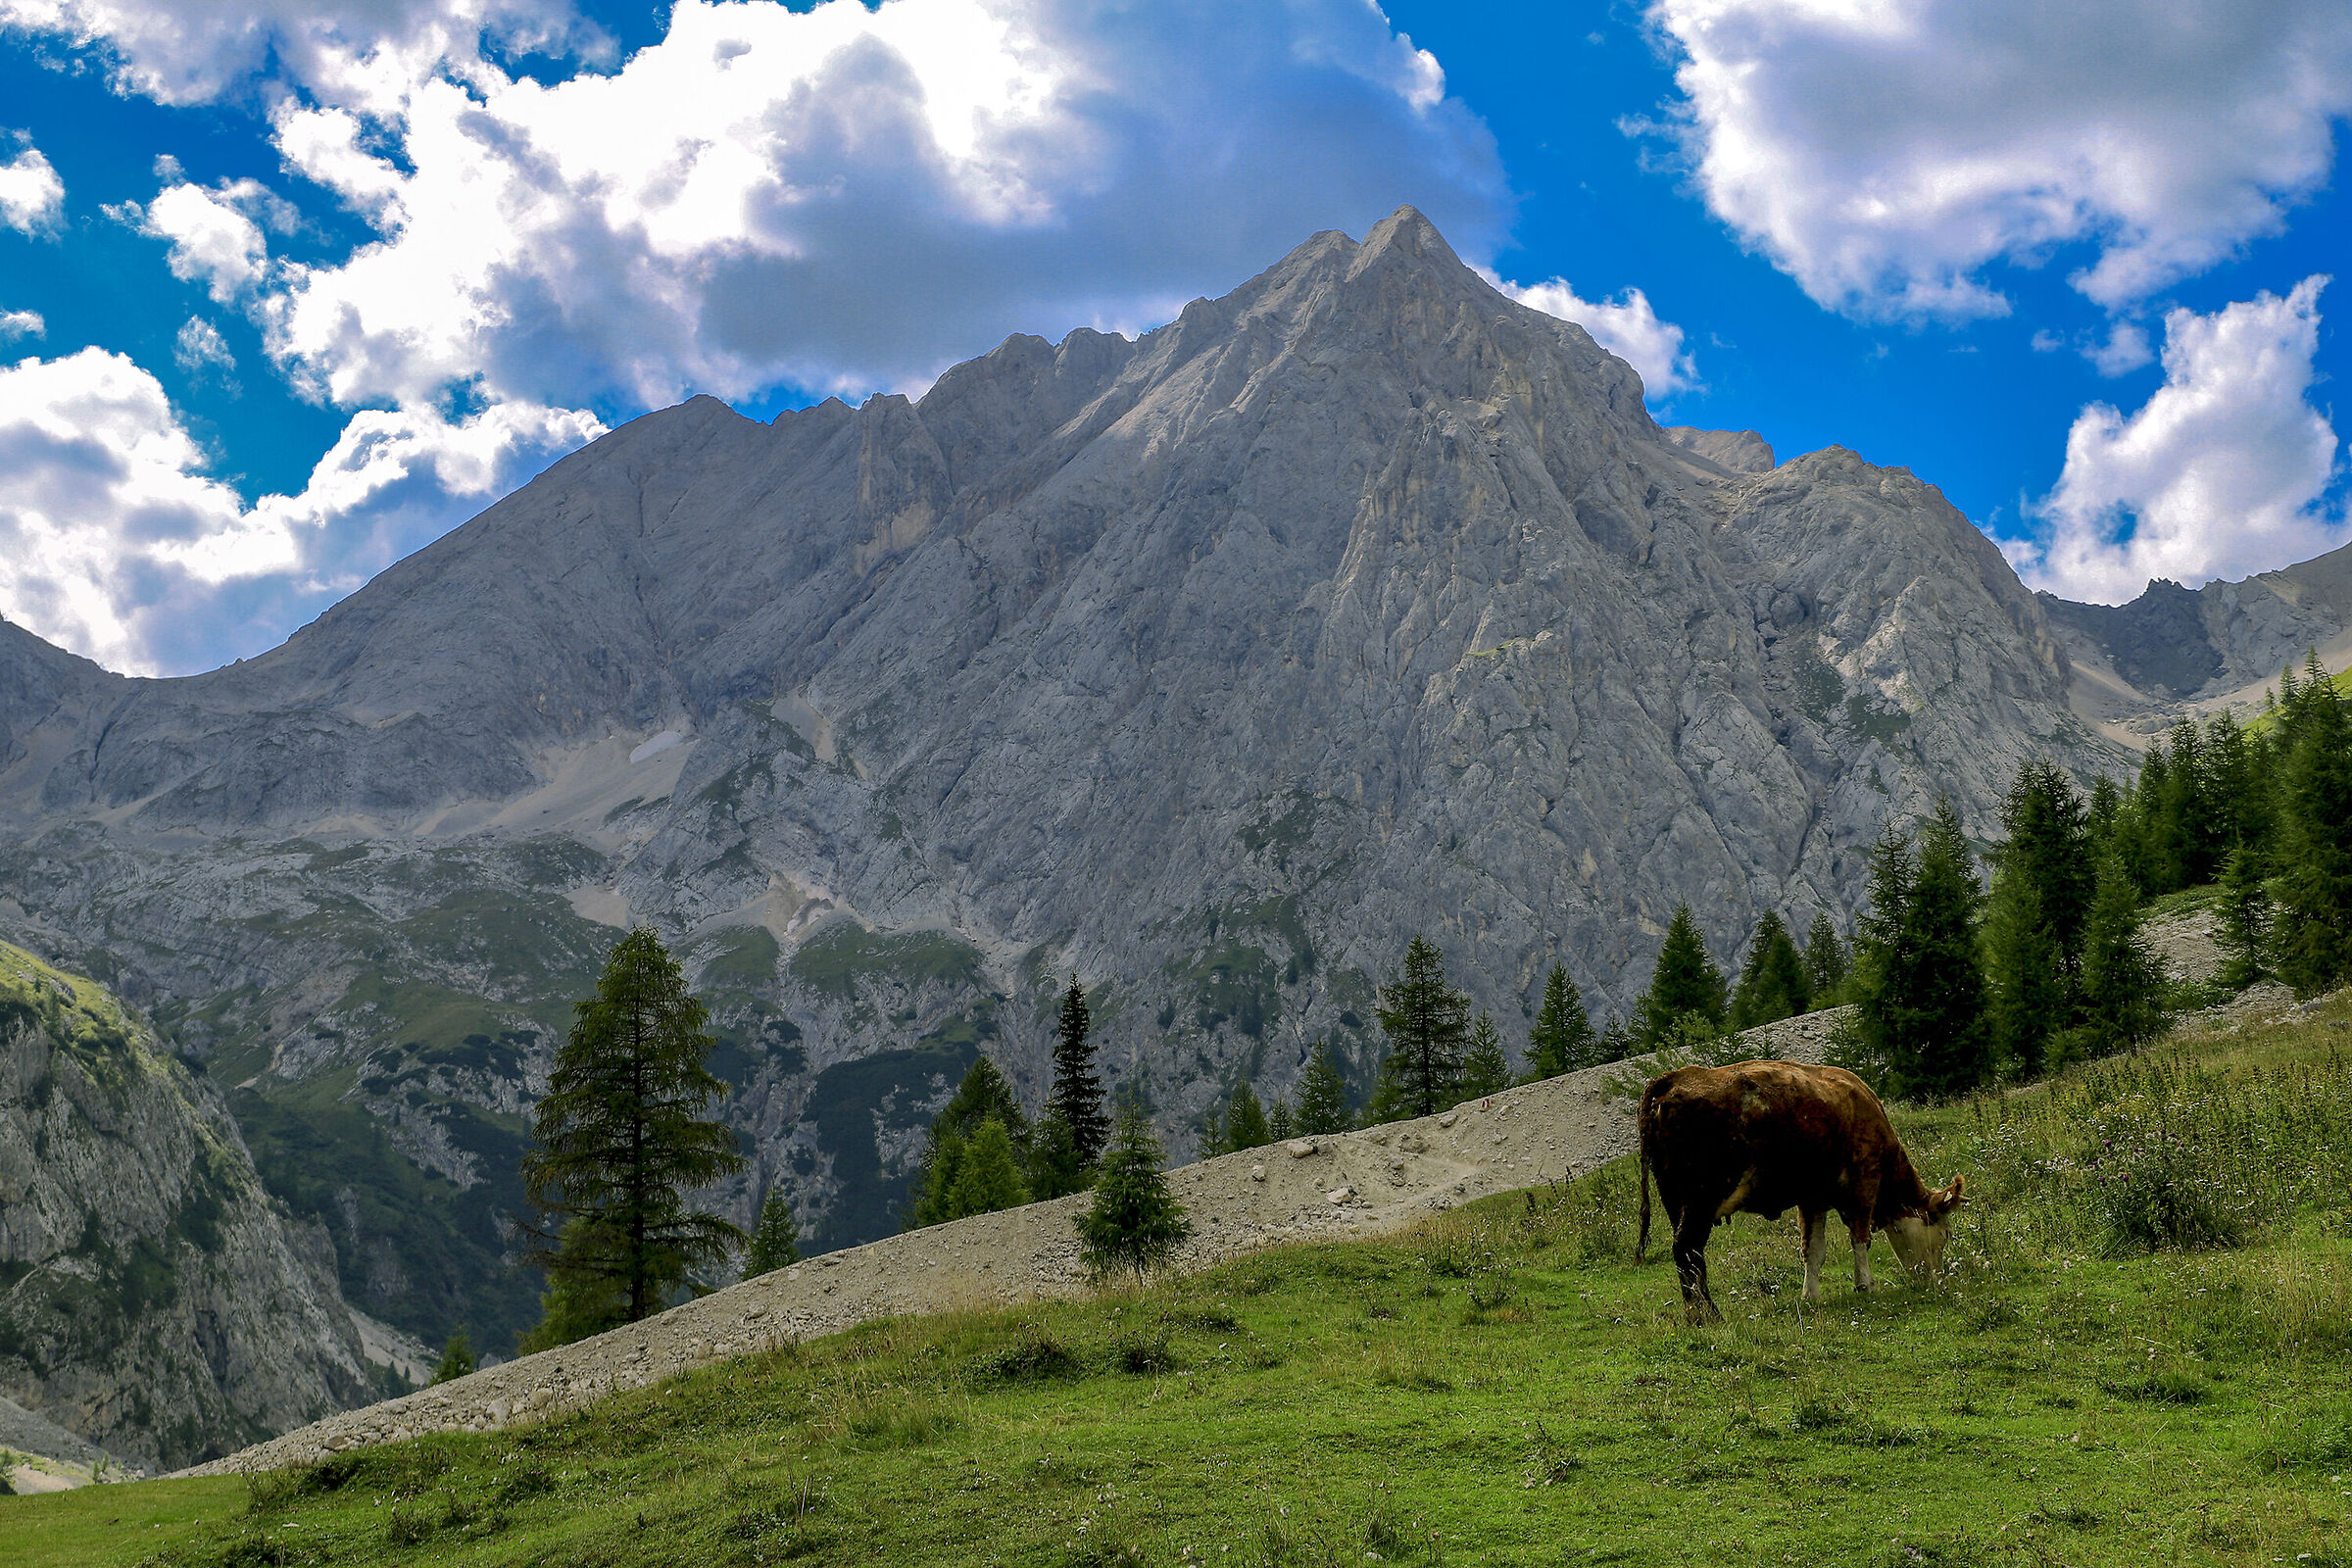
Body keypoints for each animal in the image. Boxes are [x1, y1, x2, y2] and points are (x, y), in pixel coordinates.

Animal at [1636, 1059, 1967, 1322]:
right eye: (1947, 1234)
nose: (1937, 1281)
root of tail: (1672, 1078)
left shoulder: (1812, 1198)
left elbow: (1813, 1250)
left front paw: (1811, 1295)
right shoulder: (1864, 1182)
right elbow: (1860, 1239)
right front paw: (1865, 1285)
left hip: (1675, 1201)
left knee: (1690, 1257)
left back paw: (1701, 1313)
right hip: (1701, 1198)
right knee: (1687, 1251)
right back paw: (1705, 1315)